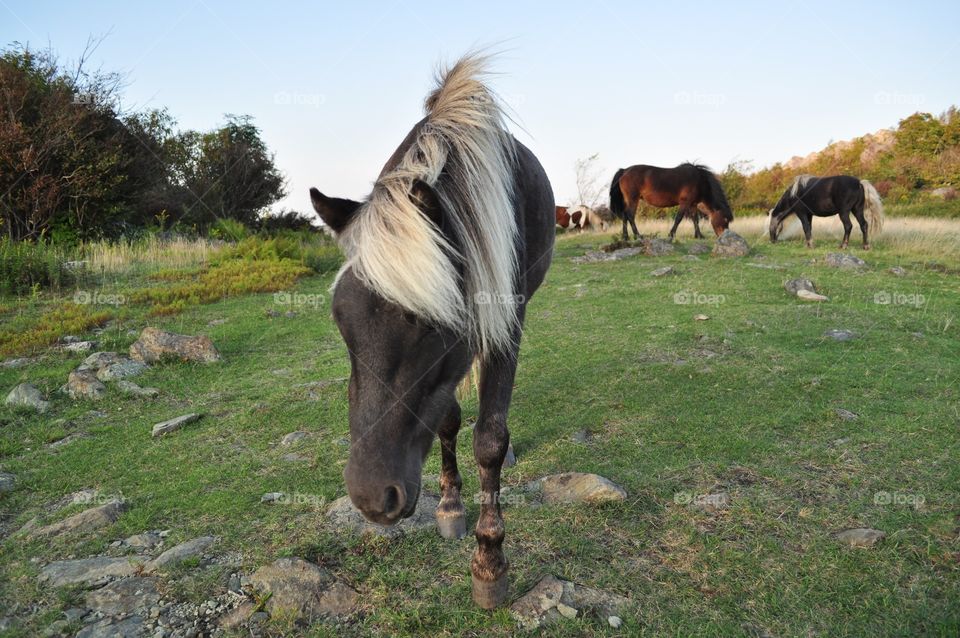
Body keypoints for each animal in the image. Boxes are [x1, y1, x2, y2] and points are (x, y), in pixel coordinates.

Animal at [309, 55, 554, 610]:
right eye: (340, 318)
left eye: (428, 321)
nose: (372, 497)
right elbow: (448, 420)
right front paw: (449, 505)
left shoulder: (505, 321)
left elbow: (489, 437)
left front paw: (489, 560)